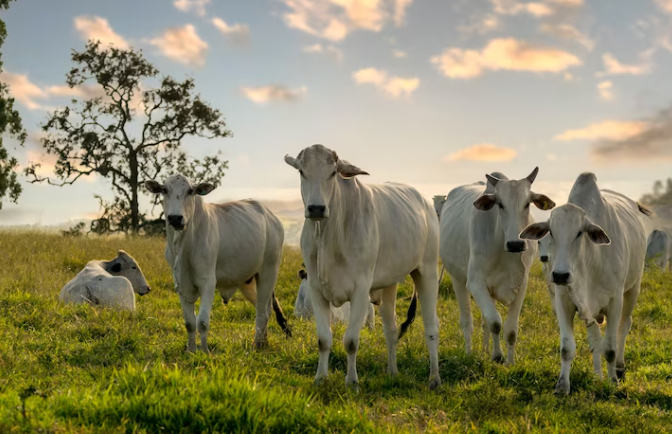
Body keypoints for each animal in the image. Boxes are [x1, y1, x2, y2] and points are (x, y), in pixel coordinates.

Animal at [144, 174, 292, 352]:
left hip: (268, 272)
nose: (175, 218)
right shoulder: (180, 284)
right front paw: (190, 351)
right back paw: (263, 342)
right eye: (164, 190)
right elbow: (189, 323)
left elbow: (202, 322)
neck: (184, 245)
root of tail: (271, 216)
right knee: (264, 307)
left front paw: (205, 352)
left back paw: (257, 345)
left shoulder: (208, 282)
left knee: (263, 311)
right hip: (247, 280)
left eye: (191, 191)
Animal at [284, 143, 440, 390]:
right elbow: (323, 339)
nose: (316, 208)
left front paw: (352, 382)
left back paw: (434, 378)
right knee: (391, 329)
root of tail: (424, 201)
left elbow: (350, 341)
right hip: (389, 284)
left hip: (427, 271)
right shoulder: (316, 289)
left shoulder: (360, 290)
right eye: (301, 171)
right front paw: (320, 378)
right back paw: (392, 372)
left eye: (333, 173)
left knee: (431, 327)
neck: (328, 235)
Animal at [438, 168, 552, 364]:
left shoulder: (522, 285)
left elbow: (510, 329)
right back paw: (469, 352)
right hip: (457, 279)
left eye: (527, 204)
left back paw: (485, 350)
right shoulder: (475, 283)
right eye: (500, 204)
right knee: (467, 321)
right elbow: (495, 322)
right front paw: (498, 356)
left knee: (484, 321)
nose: (516, 244)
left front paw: (510, 362)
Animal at [520, 173, 652, 394]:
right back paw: (597, 376)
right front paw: (562, 386)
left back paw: (619, 368)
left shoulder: (615, 301)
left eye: (579, 233)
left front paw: (613, 382)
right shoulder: (564, 301)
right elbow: (568, 348)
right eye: (551, 232)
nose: (560, 275)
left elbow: (610, 348)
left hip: (634, 288)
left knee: (624, 326)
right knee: (596, 341)